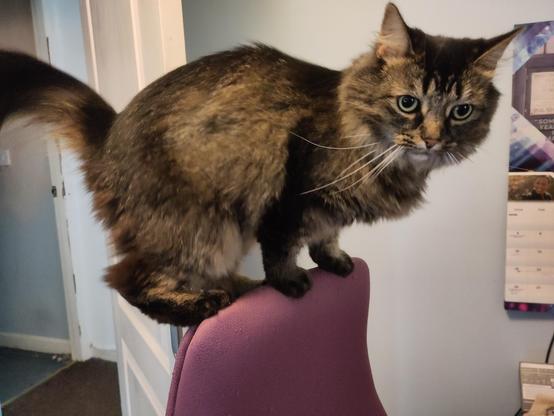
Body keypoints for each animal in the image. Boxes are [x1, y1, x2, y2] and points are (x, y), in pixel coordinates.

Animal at [0, 4, 516, 328]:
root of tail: (109, 133)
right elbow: (282, 248)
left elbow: (327, 237)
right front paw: (289, 283)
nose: (434, 138)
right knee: (125, 280)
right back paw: (209, 300)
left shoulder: (329, 211)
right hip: (200, 229)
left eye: (461, 111)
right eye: (408, 103)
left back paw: (239, 285)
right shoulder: (291, 195)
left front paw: (333, 262)